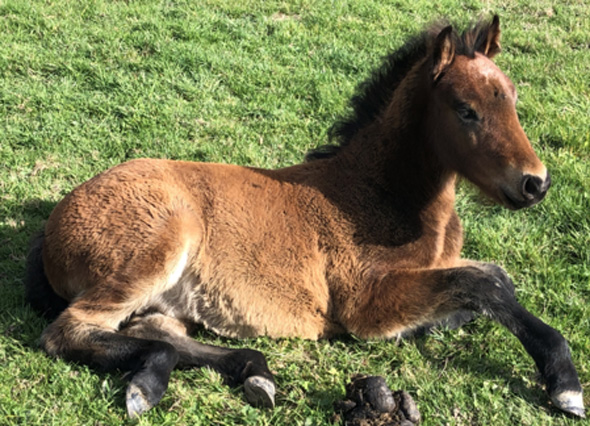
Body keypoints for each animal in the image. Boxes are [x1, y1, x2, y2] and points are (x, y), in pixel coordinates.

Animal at [24, 15, 588, 418]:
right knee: (72, 331)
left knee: (159, 332)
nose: (535, 183)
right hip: (156, 246)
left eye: (512, 99)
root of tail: (56, 220)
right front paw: (565, 383)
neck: (377, 195)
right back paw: (149, 383)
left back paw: (252, 372)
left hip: (165, 296)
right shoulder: (366, 301)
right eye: (466, 110)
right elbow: (485, 284)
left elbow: (491, 283)